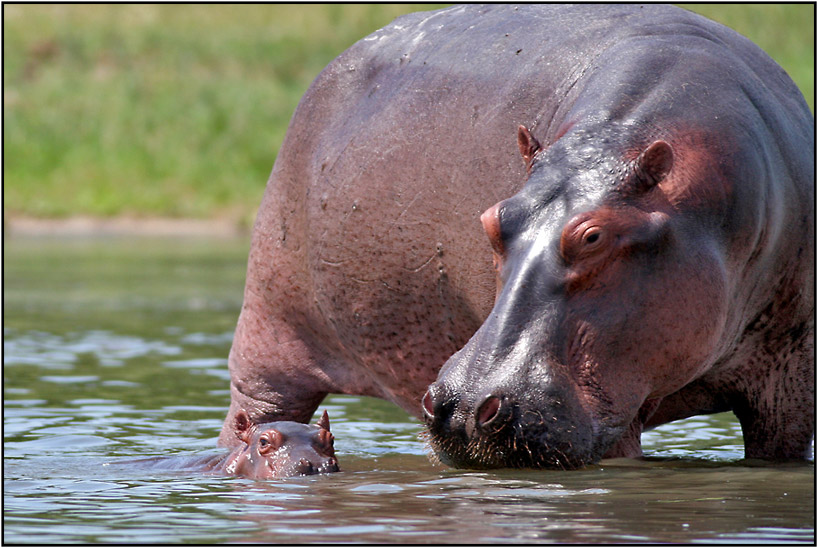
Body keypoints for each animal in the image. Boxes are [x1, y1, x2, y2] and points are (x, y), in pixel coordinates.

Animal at [217, 3, 808, 470]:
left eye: (593, 236)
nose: (462, 407)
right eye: (493, 219)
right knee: (252, 416)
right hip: (268, 343)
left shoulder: (789, 393)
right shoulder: (616, 413)